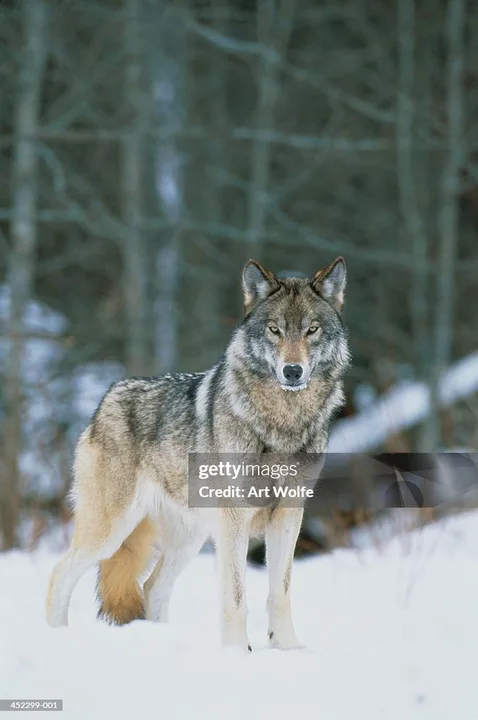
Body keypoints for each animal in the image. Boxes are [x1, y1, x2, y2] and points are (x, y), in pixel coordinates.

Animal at [46, 257, 350, 651]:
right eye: (274, 330)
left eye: (312, 330)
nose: (293, 371)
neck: (281, 422)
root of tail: (107, 397)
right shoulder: (234, 519)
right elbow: (236, 596)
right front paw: (237, 652)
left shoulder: (288, 513)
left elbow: (279, 592)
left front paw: (288, 648)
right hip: (110, 532)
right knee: (59, 575)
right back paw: (56, 637)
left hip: (189, 540)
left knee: (152, 588)